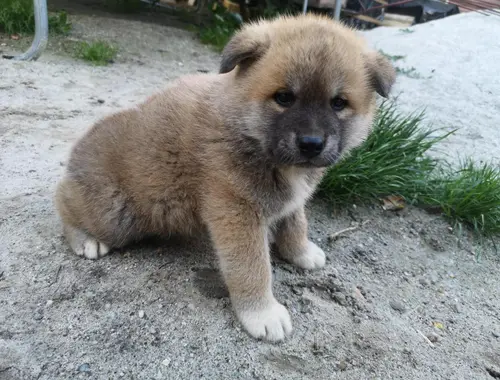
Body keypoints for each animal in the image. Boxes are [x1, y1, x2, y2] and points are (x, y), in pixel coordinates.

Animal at [53, 14, 394, 342]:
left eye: (338, 103)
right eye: (284, 97)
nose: (311, 144)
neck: (247, 131)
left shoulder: (290, 201)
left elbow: (295, 223)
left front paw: (301, 252)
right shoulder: (237, 211)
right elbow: (253, 268)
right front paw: (262, 313)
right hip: (114, 215)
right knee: (63, 199)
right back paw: (86, 239)